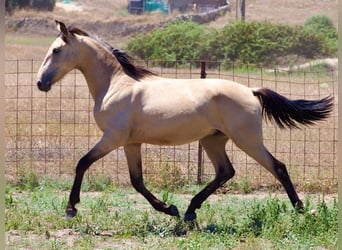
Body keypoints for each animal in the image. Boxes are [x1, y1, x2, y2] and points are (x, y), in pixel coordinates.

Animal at [36, 20, 332, 222]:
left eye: (56, 50)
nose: (41, 83)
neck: (115, 85)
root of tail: (251, 91)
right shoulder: (131, 143)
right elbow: (137, 181)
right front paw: (170, 209)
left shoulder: (112, 138)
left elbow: (82, 163)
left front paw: (71, 208)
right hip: (213, 141)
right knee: (226, 172)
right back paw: (190, 211)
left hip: (248, 141)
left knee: (277, 167)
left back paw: (301, 210)